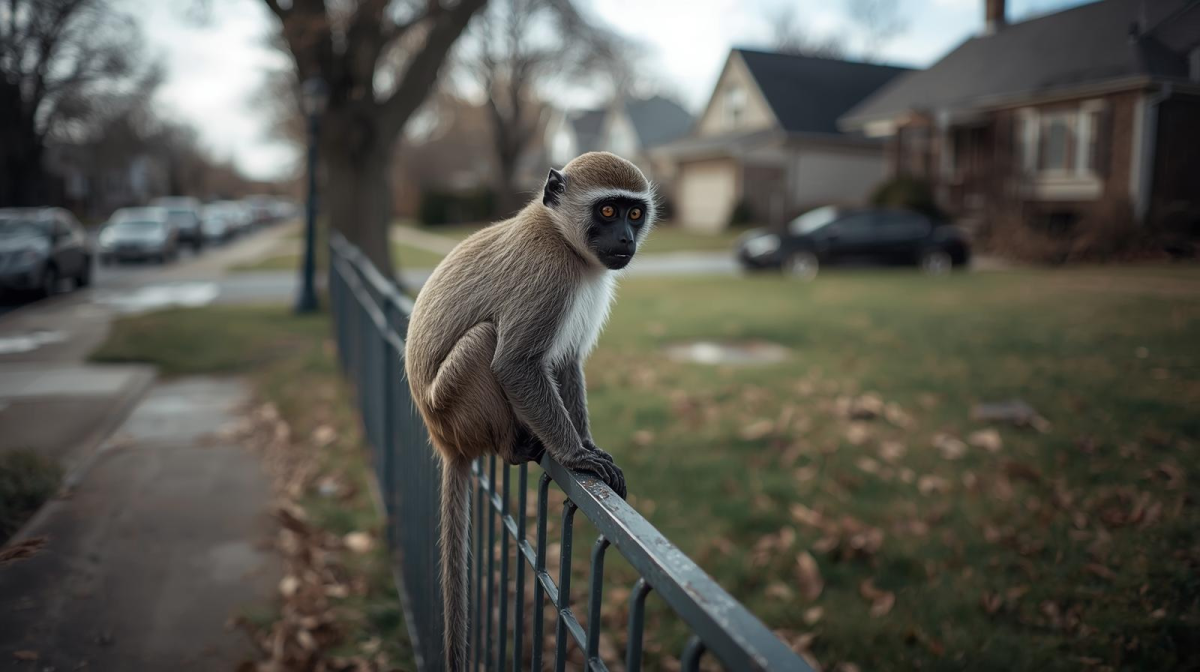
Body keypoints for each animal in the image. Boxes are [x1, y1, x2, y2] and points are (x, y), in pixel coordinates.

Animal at [404, 151, 656, 670]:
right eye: (607, 211)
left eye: (634, 213)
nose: (625, 238)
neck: (561, 236)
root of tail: (444, 440)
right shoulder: (548, 277)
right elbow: (516, 364)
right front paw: (577, 456)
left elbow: (564, 362)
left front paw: (588, 446)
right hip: (455, 406)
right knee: (486, 340)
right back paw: (516, 445)